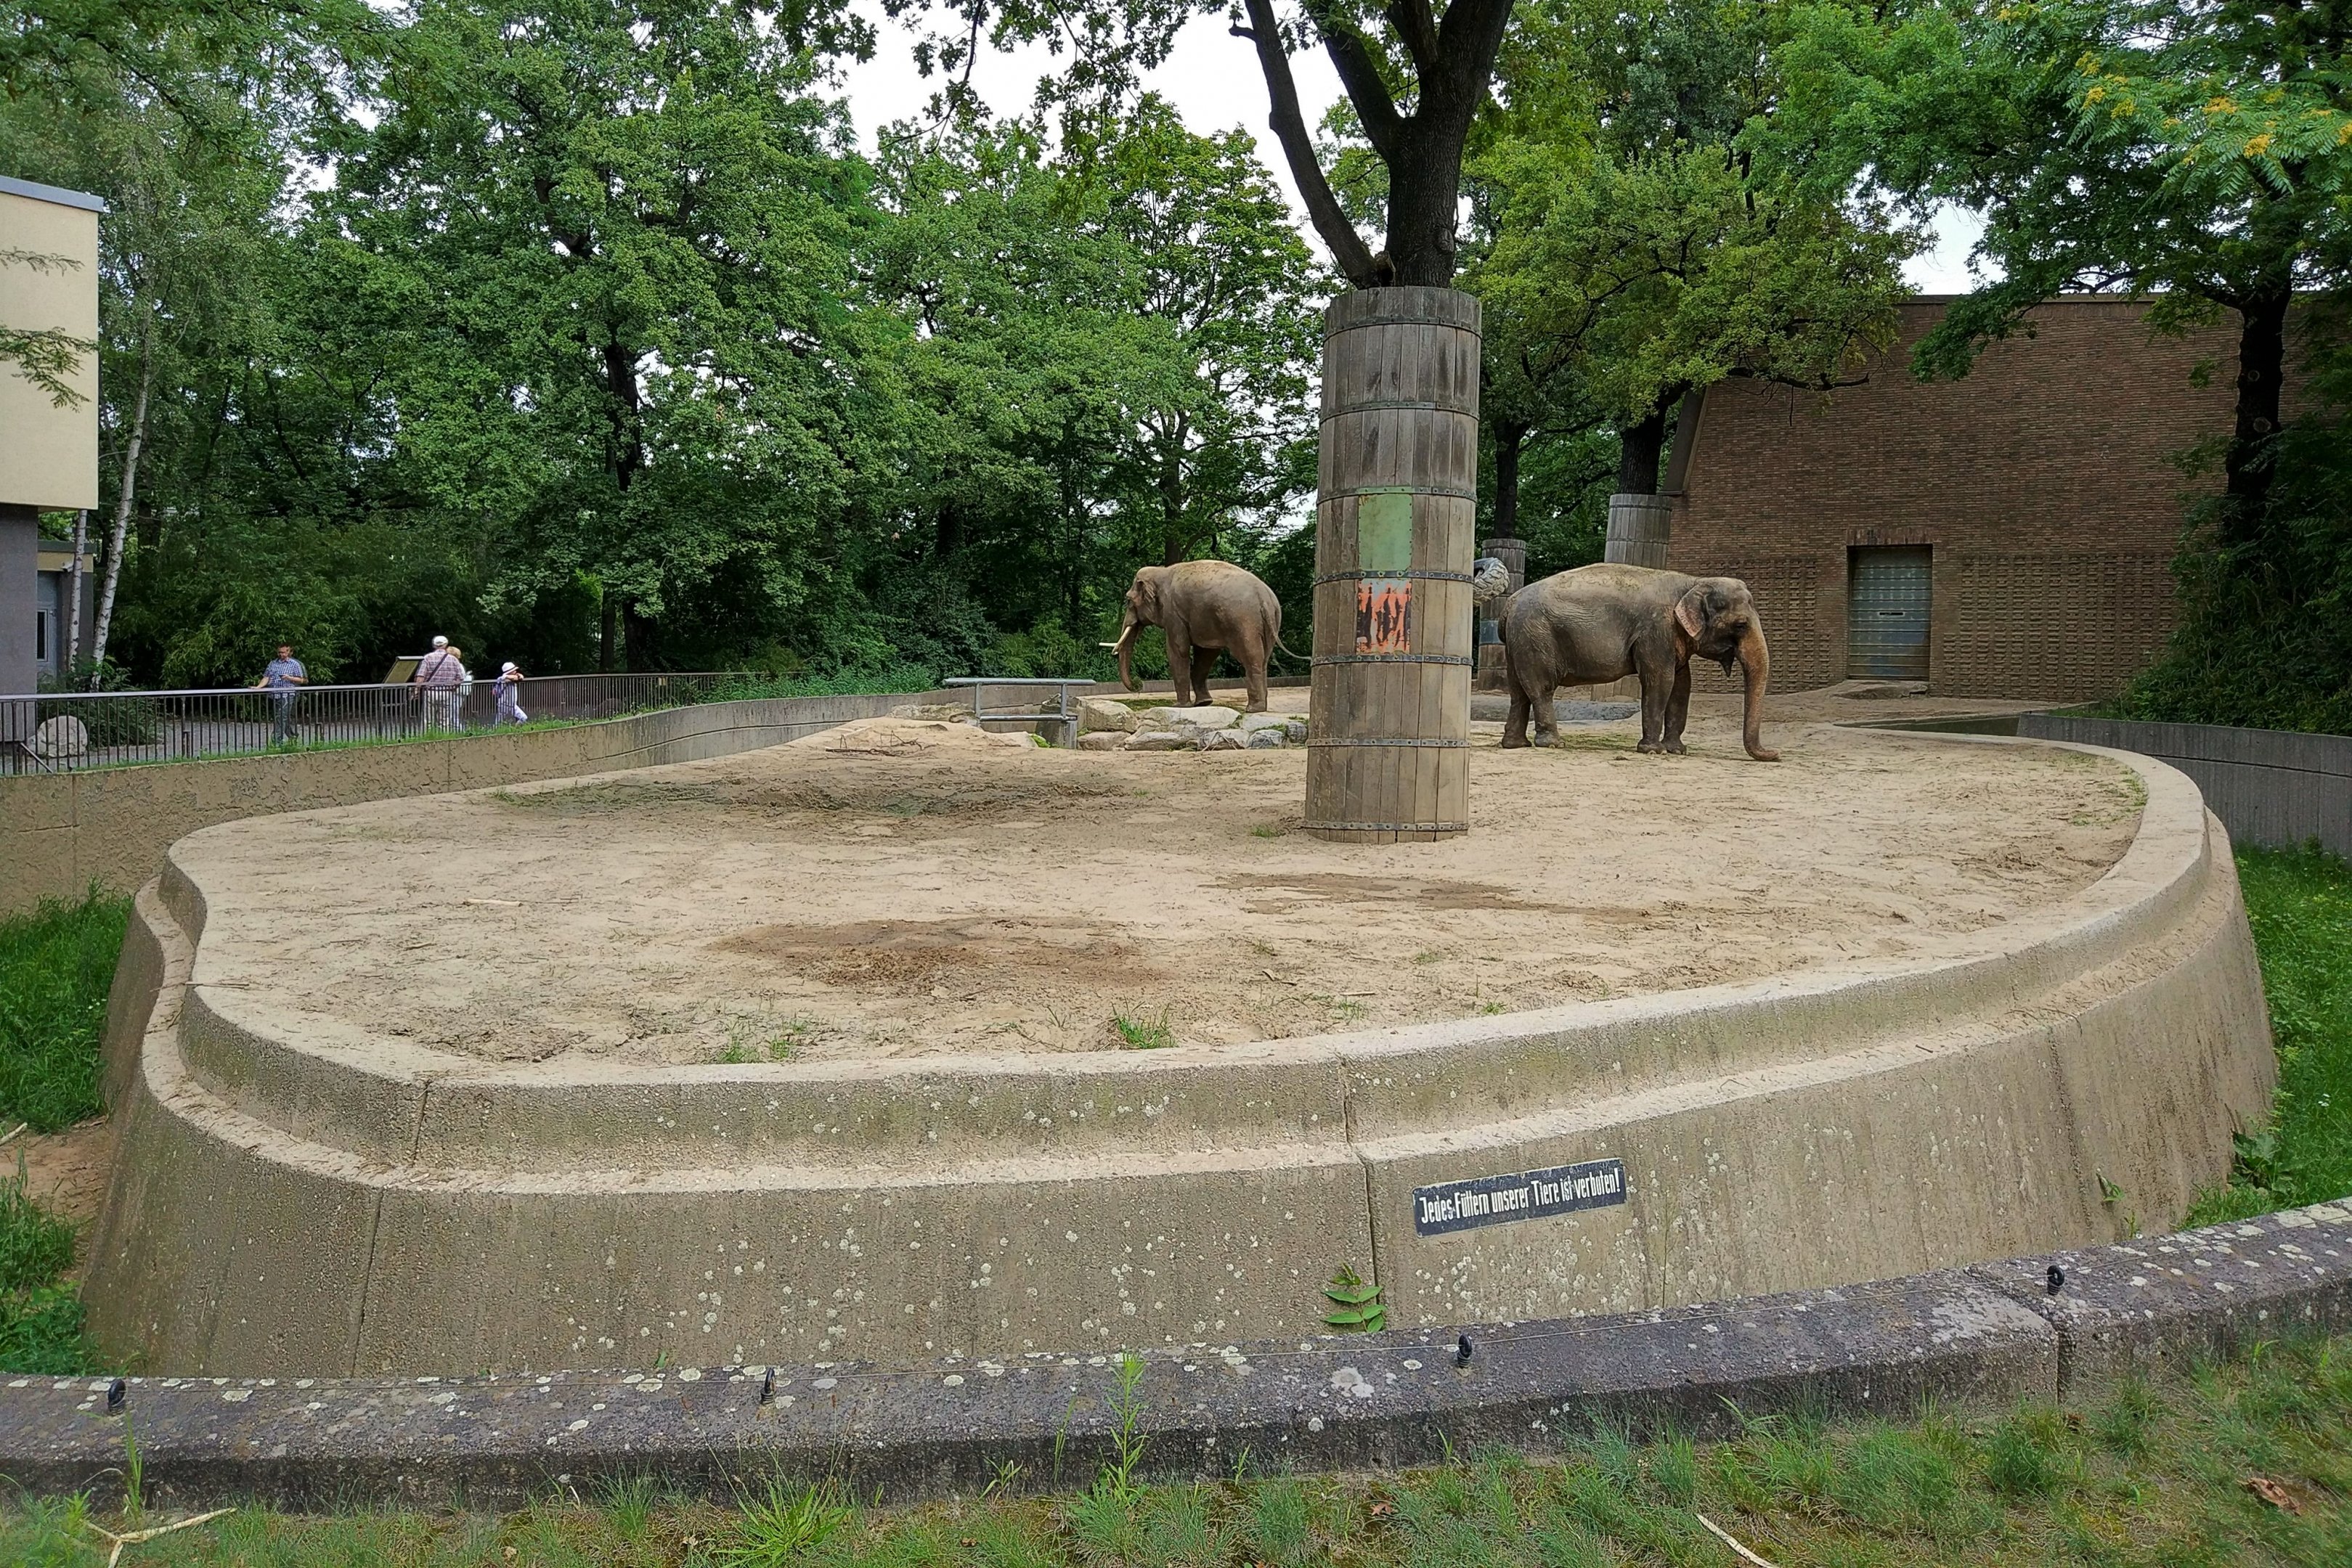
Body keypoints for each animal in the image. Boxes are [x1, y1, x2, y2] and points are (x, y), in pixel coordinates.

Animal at [1103, 560, 1302, 712]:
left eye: (1128, 600)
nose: (1139, 684)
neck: (1162, 571)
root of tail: (1264, 598)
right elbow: (1205, 654)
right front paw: (1203, 703)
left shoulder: (1174, 614)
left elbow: (1178, 651)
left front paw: (1179, 706)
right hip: (1272, 621)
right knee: (1264, 659)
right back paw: (1261, 706)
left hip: (1244, 622)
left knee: (1251, 658)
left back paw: (1253, 709)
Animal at [1499, 562, 1779, 760]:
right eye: (1741, 625)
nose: (1775, 754)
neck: (1693, 582)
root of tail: (1509, 605)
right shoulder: (1657, 630)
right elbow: (1660, 681)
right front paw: (1654, 751)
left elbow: (1682, 686)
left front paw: (1677, 751)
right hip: (1536, 638)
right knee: (1541, 689)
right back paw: (1554, 744)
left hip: (1518, 643)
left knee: (1518, 692)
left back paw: (1515, 745)